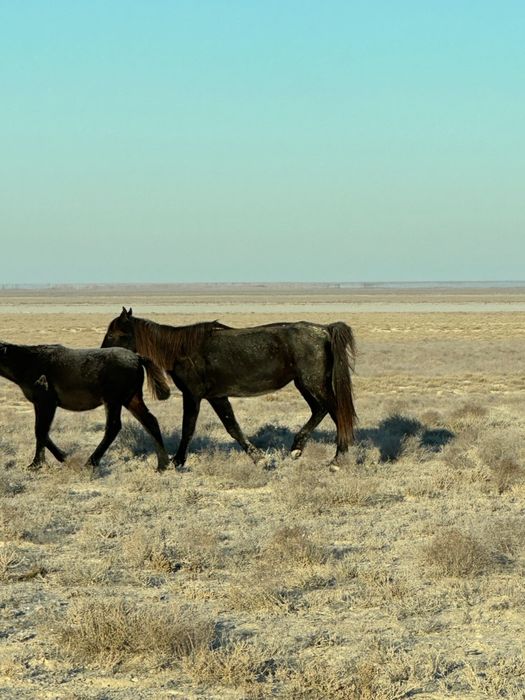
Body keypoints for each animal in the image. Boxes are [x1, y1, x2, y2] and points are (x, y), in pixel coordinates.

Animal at [0, 341, 171, 472]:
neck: (29, 362)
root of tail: (137, 357)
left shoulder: (46, 403)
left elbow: (41, 432)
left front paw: (62, 458)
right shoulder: (39, 404)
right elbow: (41, 433)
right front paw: (37, 464)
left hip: (113, 401)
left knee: (113, 427)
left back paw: (90, 462)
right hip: (131, 400)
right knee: (150, 422)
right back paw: (162, 465)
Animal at [101, 308, 357, 466]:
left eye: (114, 333)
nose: (103, 354)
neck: (181, 350)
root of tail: (324, 329)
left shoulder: (192, 395)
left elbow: (188, 428)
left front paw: (178, 461)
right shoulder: (217, 397)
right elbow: (232, 427)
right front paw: (258, 458)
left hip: (314, 383)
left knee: (337, 413)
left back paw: (337, 459)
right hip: (305, 384)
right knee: (320, 410)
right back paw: (296, 449)